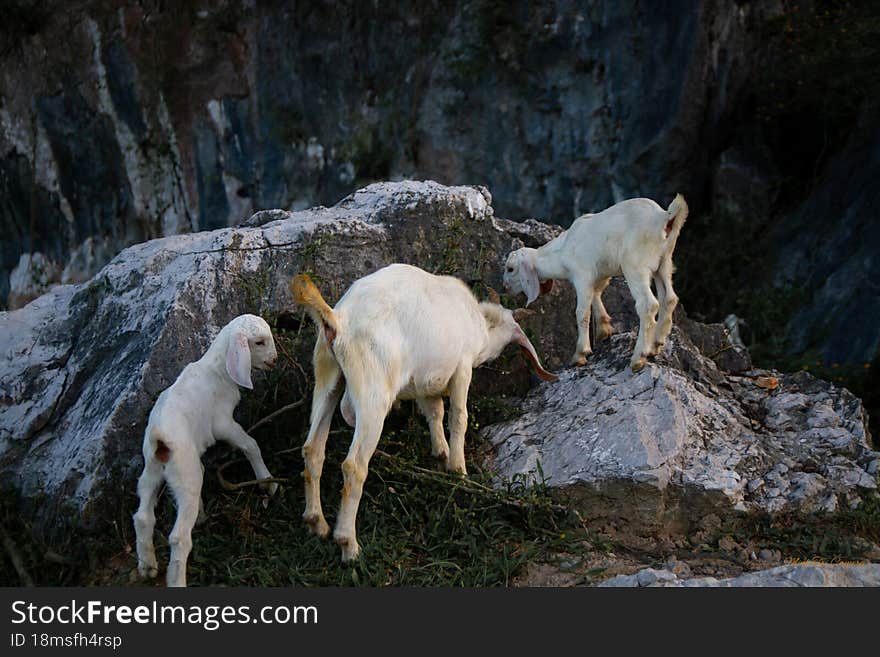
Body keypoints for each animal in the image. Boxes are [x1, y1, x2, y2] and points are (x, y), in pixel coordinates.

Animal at [131, 312, 278, 584]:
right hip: (185, 474)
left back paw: (148, 567)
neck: (217, 369)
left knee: (143, 517)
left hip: (151, 471)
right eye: (259, 342)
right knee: (178, 537)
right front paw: (267, 482)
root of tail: (159, 436)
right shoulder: (222, 423)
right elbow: (250, 445)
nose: (274, 360)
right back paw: (177, 579)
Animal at [292, 264, 552, 560]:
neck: (478, 322)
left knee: (312, 448)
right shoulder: (462, 367)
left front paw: (441, 455)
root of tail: (338, 320)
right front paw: (459, 469)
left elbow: (435, 412)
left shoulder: (426, 381)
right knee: (354, 466)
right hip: (372, 394)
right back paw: (349, 544)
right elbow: (458, 417)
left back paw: (317, 523)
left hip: (327, 374)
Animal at [502, 193, 688, 368]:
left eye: (510, 268)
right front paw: (604, 330)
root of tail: (663, 217)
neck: (562, 251)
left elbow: (582, 312)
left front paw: (580, 354)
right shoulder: (601, 273)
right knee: (669, 298)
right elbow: (596, 294)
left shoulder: (582, 274)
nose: (505, 287)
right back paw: (656, 344)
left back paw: (638, 358)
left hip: (635, 266)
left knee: (648, 304)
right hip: (664, 263)